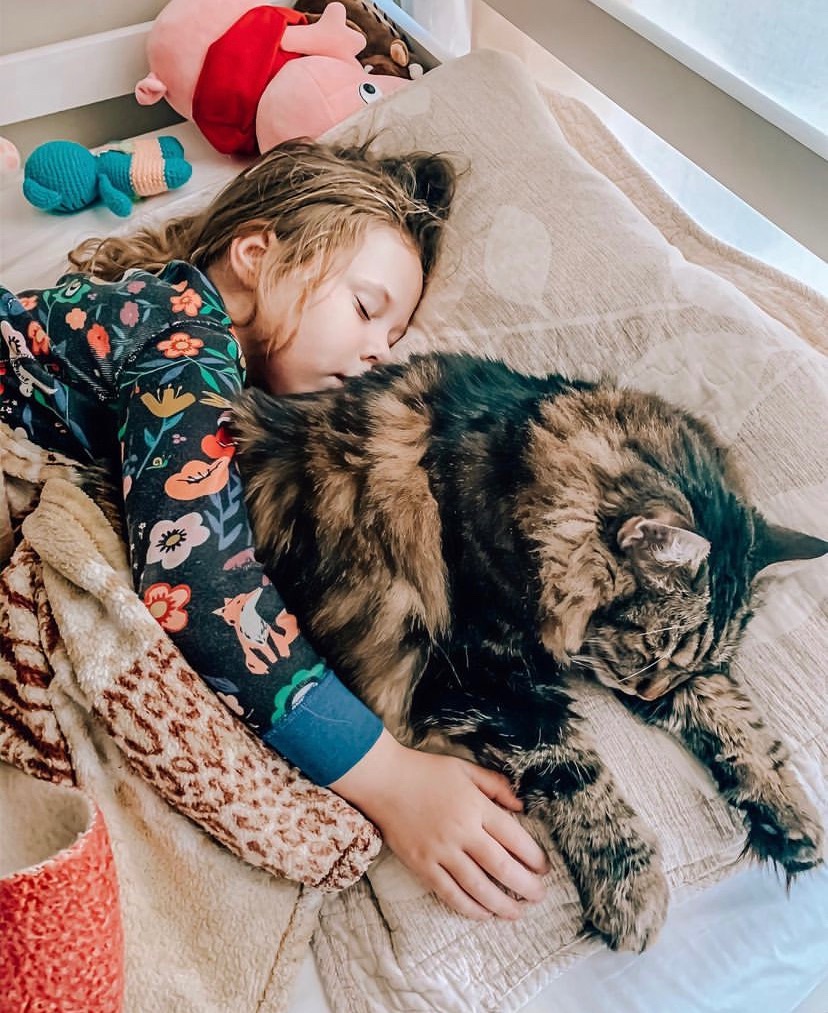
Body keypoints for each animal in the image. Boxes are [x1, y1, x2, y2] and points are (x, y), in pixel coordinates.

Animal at [230, 351, 826, 952]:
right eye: (652, 646)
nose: (647, 696)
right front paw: (630, 887)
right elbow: (574, 768)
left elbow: (739, 719)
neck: (517, 481)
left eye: (688, 658)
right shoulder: (471, 674)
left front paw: (790, 816)